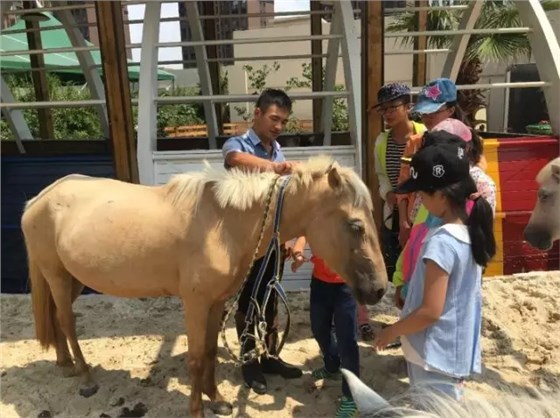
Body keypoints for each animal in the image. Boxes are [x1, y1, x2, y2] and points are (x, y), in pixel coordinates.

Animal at [23, 155, 390, 416]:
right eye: (355, 225)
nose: (379, 289)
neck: (224, 223)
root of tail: (39, 199)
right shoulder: (196, 303)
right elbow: (197, 358)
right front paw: (198, 409)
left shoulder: (216, 302)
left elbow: (212, 352)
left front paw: (218, 400)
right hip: (57, 275)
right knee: (67, 322)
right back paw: (85, 378)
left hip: (71, 279)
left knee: (54, 316)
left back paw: (65, 365)